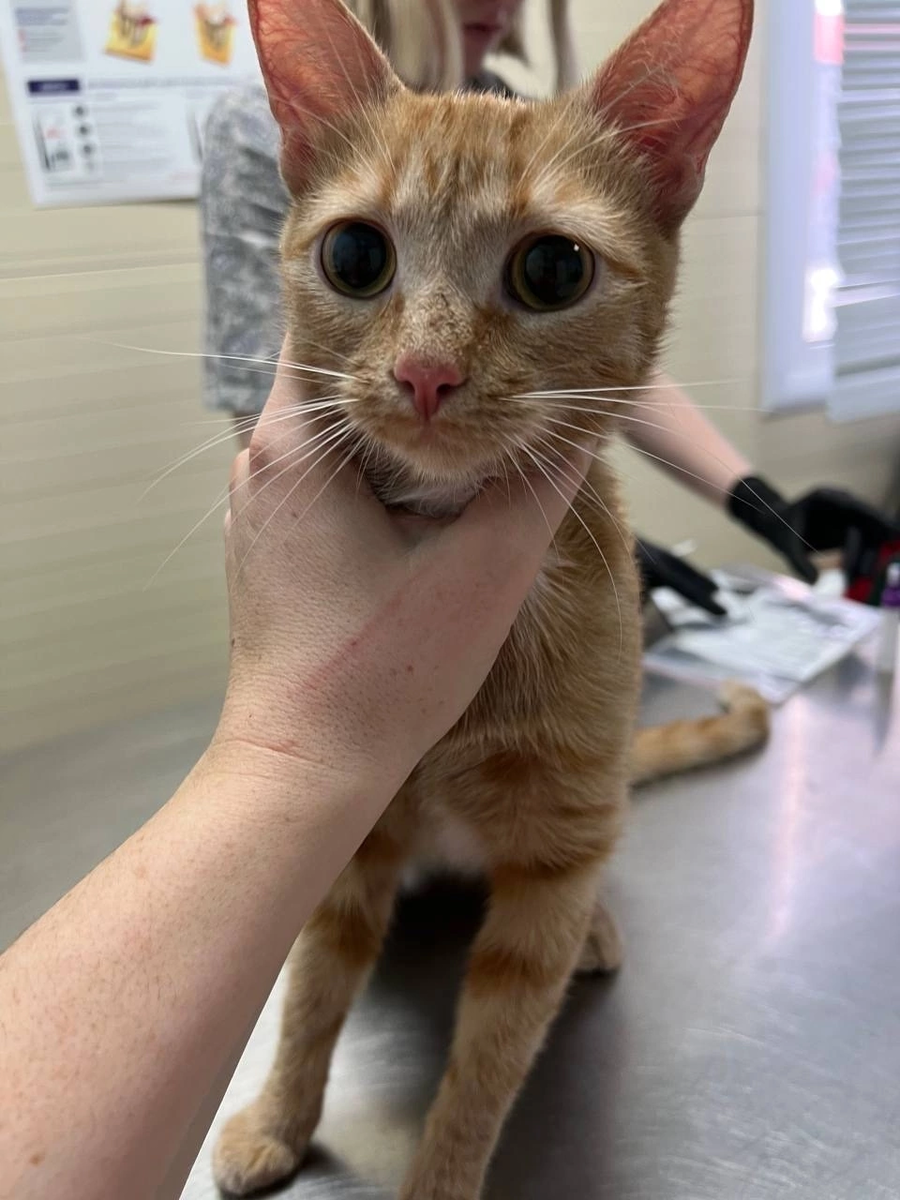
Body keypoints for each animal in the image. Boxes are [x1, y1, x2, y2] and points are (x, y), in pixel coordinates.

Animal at [212, 0, 755, 1196]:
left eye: (552, 269)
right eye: (356, 255)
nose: (426, 372)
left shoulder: (553, 861)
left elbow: (491, 1060)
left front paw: (443, 1175)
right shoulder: (350, 835)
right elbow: (313, 992)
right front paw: (279, 1112)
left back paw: (595, 930)